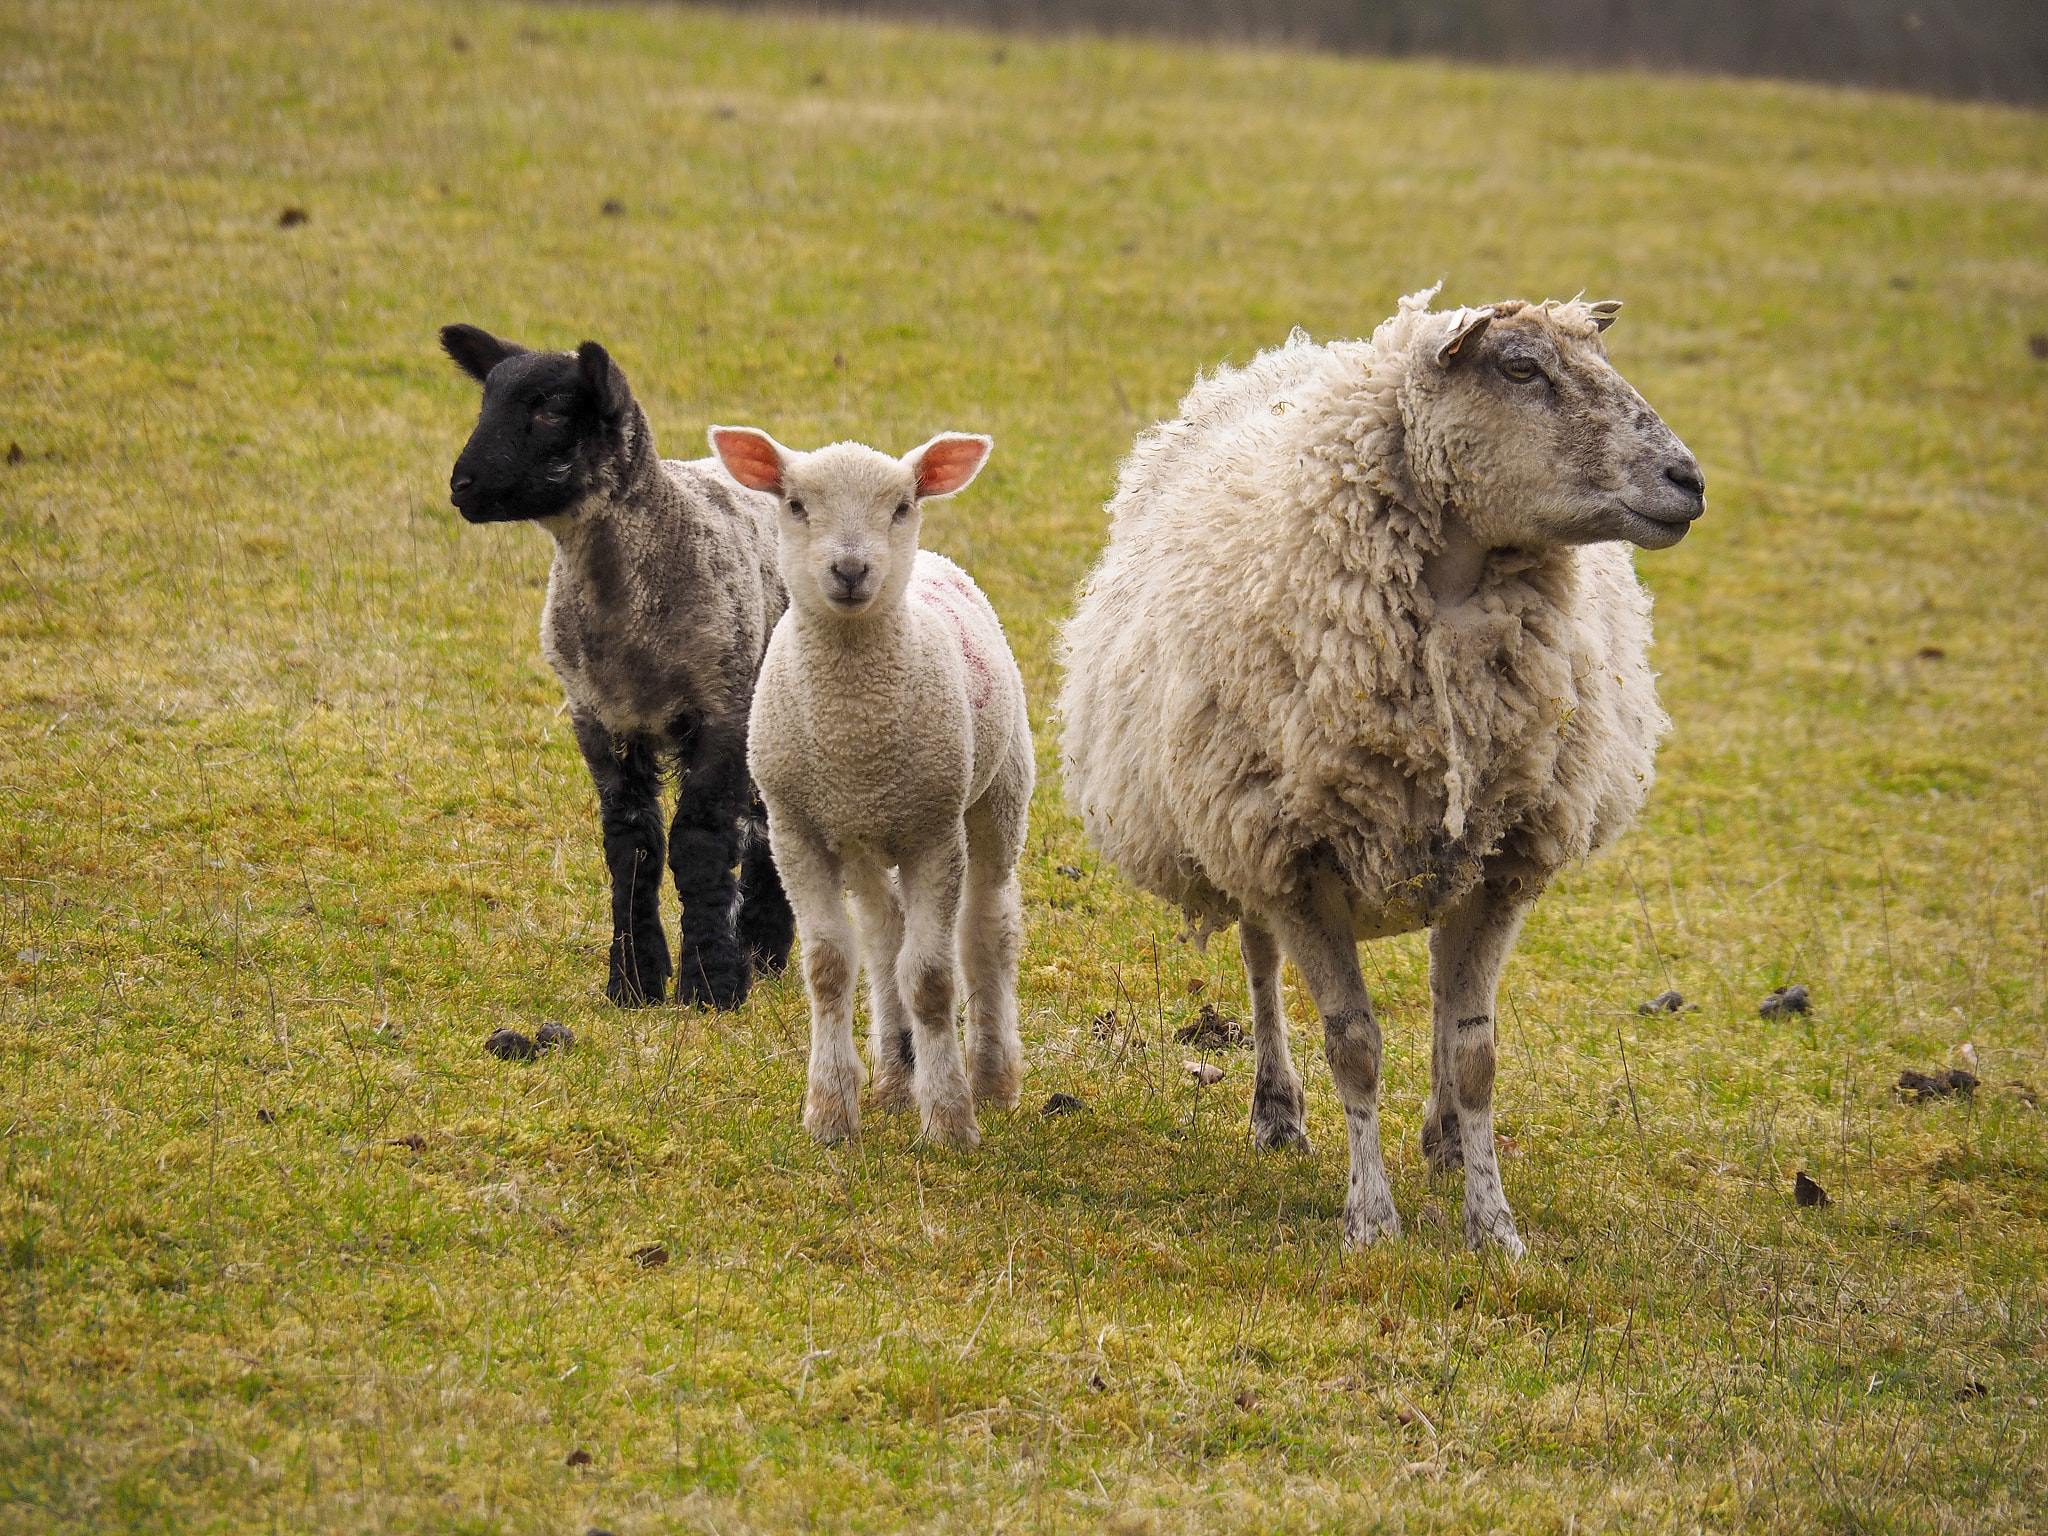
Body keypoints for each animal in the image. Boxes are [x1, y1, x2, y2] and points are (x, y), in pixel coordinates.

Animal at [440, 324, 795, 1010]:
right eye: (485, 400)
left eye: (552, 409)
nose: (460, 486)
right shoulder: (599, 720)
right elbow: (632, 848)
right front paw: (633, 981)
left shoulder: (721, 707)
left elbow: (701, 844)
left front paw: (711, 983)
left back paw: (764, 947)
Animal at [709, 426, 1033, 1150]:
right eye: (796, 504)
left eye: (902, 506)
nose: (851, 570)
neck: (855, 734)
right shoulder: (795, 831)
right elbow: (829, 967)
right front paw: (831, 1112)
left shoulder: (934, 834)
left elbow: (933, 978)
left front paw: (949, 1119)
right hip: (860, 837)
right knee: (885, 937)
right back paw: (892, 1075)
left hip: (998, 794)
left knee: (986, 928)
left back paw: (992, 1077)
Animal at [1058, 287, 1705, 1255]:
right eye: (1521, 368)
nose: (1689, 480)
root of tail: (1301, 352)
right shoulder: (1295, 860)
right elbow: (1353, 1046)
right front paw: (1370, 1220)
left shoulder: (1504, 862)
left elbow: (1476, 1053)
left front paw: (1494, 1226)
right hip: (1238, 830)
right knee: (1259, 959)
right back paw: (1277, 1111)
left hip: (1454, 852)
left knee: (1443, 991)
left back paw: (1443, 1139)